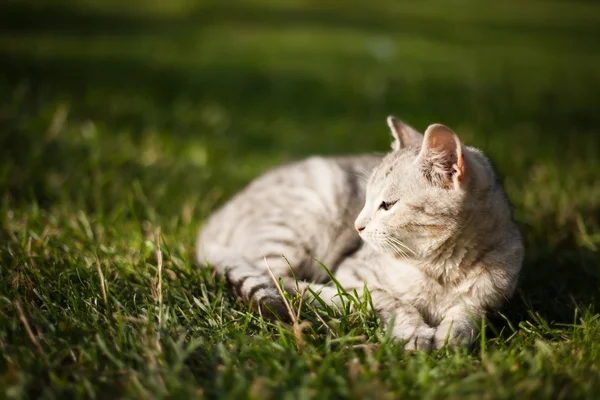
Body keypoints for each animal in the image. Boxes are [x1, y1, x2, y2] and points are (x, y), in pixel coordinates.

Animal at [196, 116, 520, 350]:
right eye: (366, 198)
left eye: (387, 205)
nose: (357, 225)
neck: (441, 269)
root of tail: (211, 224)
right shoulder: (353, 275)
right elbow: (391, 300)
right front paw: (414, 332)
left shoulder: (491, 297)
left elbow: (470, 311)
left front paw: (453, 335)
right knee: (278, 279)